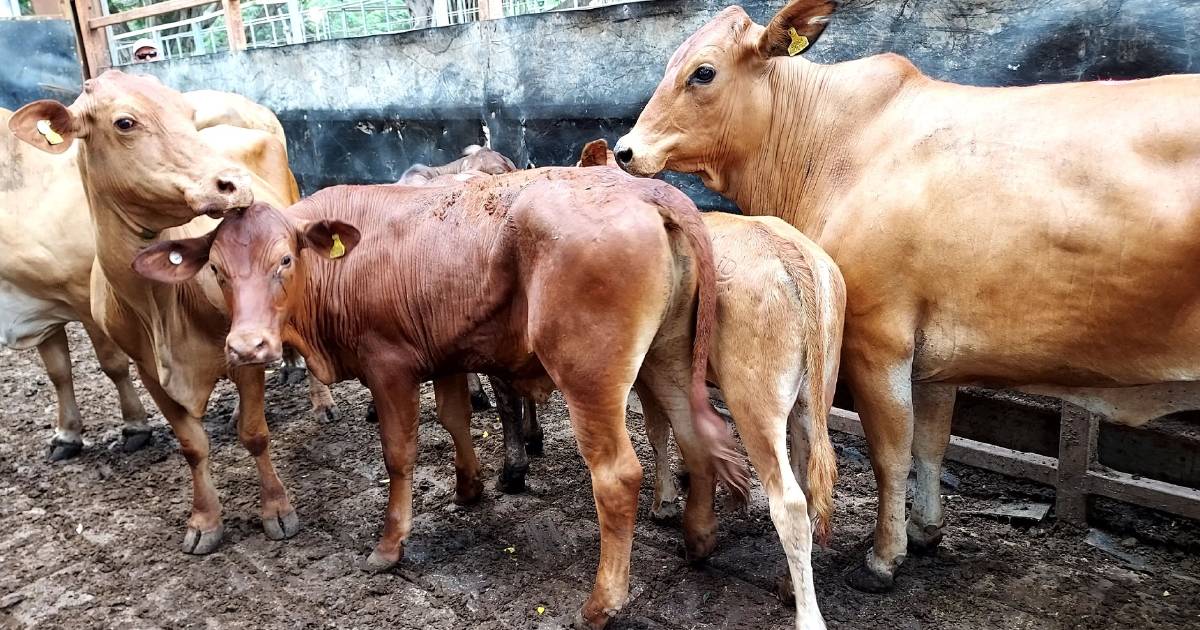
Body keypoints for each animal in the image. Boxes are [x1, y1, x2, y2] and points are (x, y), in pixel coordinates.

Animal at [8, 71, 333, 554]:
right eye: (125, 122)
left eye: (188, 113)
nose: (233, 183)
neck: (160, 305)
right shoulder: (148, 368)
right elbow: (192, 445)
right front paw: (204, 521)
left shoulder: (243, 355)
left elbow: (255, 435)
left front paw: (277, 509)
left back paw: (320, 401)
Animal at [614, 0, 1200, 590]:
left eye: (703, 72)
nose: (625, 150)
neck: (830, 143)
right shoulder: (937, 359)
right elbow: (933, 442)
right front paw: (924, 530)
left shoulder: (879, 342)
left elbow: (892, 452)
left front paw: (883, 556)